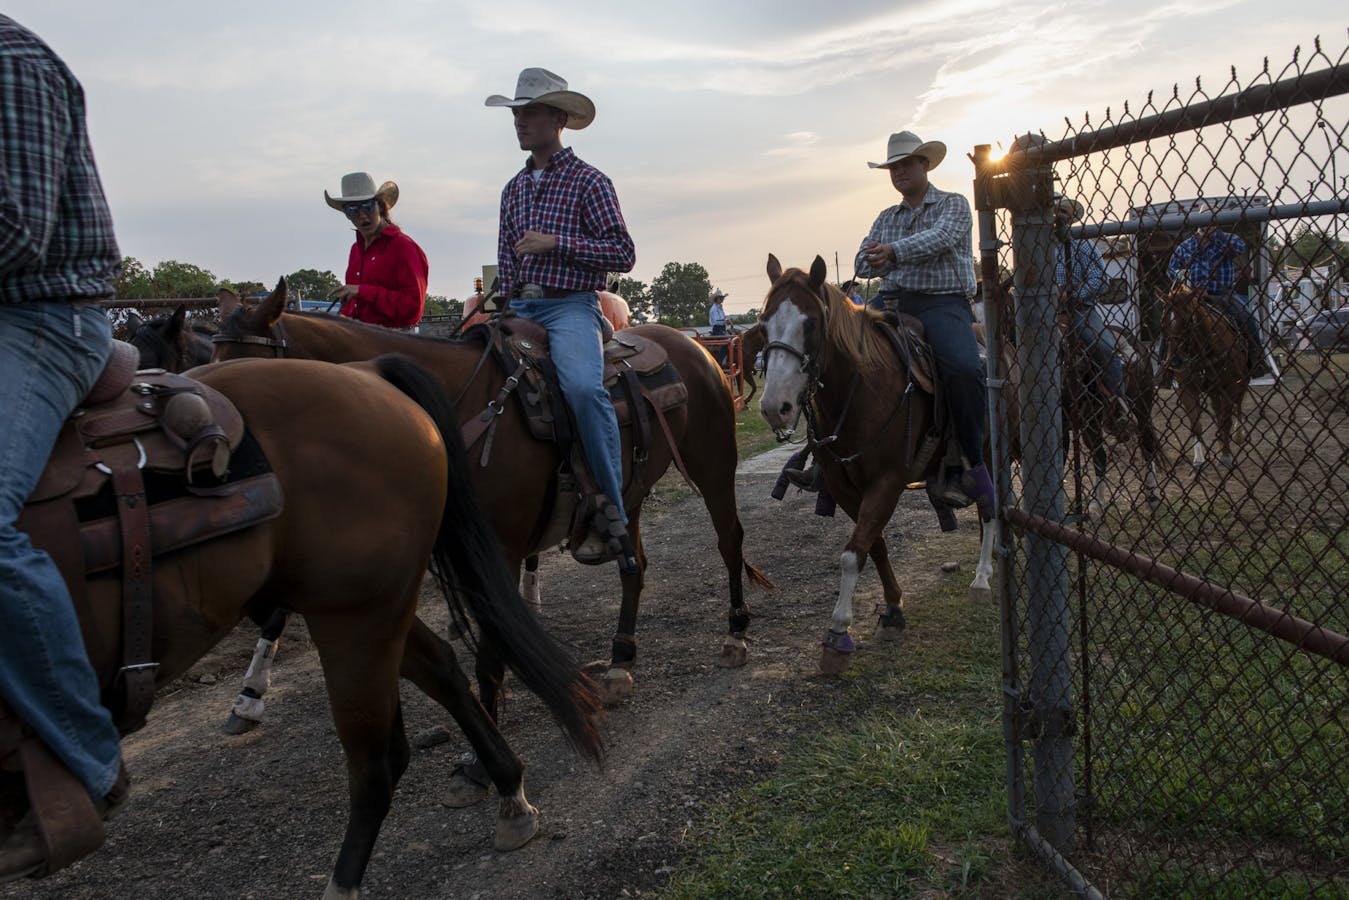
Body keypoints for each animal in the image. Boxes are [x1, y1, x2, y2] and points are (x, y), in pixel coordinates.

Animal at [10, 356, 601, 895]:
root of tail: (367, 371)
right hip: (370, 606)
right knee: (439, 671)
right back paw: (506, 790)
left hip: (358, 615)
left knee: (378, 762)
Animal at [215, 282, 777, 717]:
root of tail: (698, 350)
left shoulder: (497, 551)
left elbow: (490, 648)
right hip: (630, 488)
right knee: (634, 565)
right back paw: (620, 662)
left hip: (713, 464)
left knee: (730, 540)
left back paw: (735, 633)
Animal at [755, 253, 998, 669]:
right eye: (763, 323)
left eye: (811, 323)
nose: (775, 408)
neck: (862, 389)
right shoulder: (844, 486)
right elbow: (874, 543)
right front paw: (894, 610)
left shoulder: (887, 481)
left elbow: (853, 554)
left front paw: (838, 633)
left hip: (988, 451)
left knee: (990, 507)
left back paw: (982, 578)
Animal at [1160, 283, 1251, 469]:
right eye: (1163, 321)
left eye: (1187, 321)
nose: (1175, 361)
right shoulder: (1186, 388)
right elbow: (1196, 424)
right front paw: (1199, 459)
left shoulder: (1230, 385)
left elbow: (1226, 420)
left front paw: (1226, 456)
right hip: (1213, 390)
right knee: (1217, 410)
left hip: (1241, 379)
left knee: (1237, 405)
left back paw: (1238, 435)